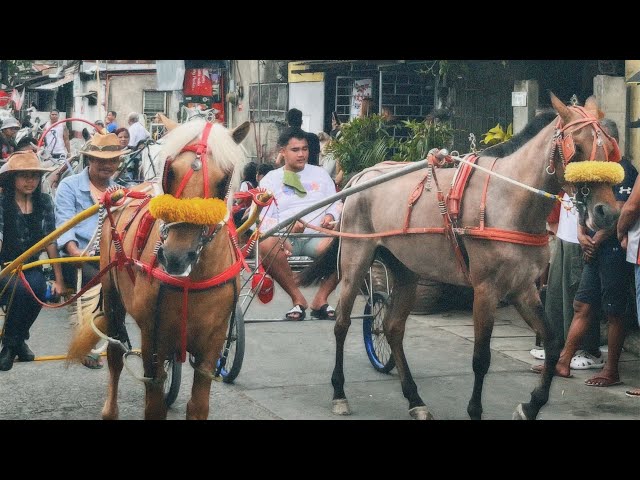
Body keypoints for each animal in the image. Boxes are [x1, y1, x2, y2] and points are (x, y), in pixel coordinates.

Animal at [67, 117, 250, 420]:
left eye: (223, 180)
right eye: (171, 172)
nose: (176, 256)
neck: (192, 279)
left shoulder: (212, 343)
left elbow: (198, 405)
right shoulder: (154, 340)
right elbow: (154, 404)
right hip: (113, 297)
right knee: (115, 356)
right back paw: (110, 410)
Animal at [300, 92, 624, 418]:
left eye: (610, 150)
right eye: (578, 148)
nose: (606, 213)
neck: (509, 199)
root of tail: (362, 176)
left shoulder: (523, 288)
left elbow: (553, 341)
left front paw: (531, 405)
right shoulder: (485, 289)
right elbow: (481, 358)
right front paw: (475, 409)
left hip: (406, 268)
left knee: (392, 328)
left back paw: (415, 400)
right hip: (356, 259)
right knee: (342, 324)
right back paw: (339, 393)